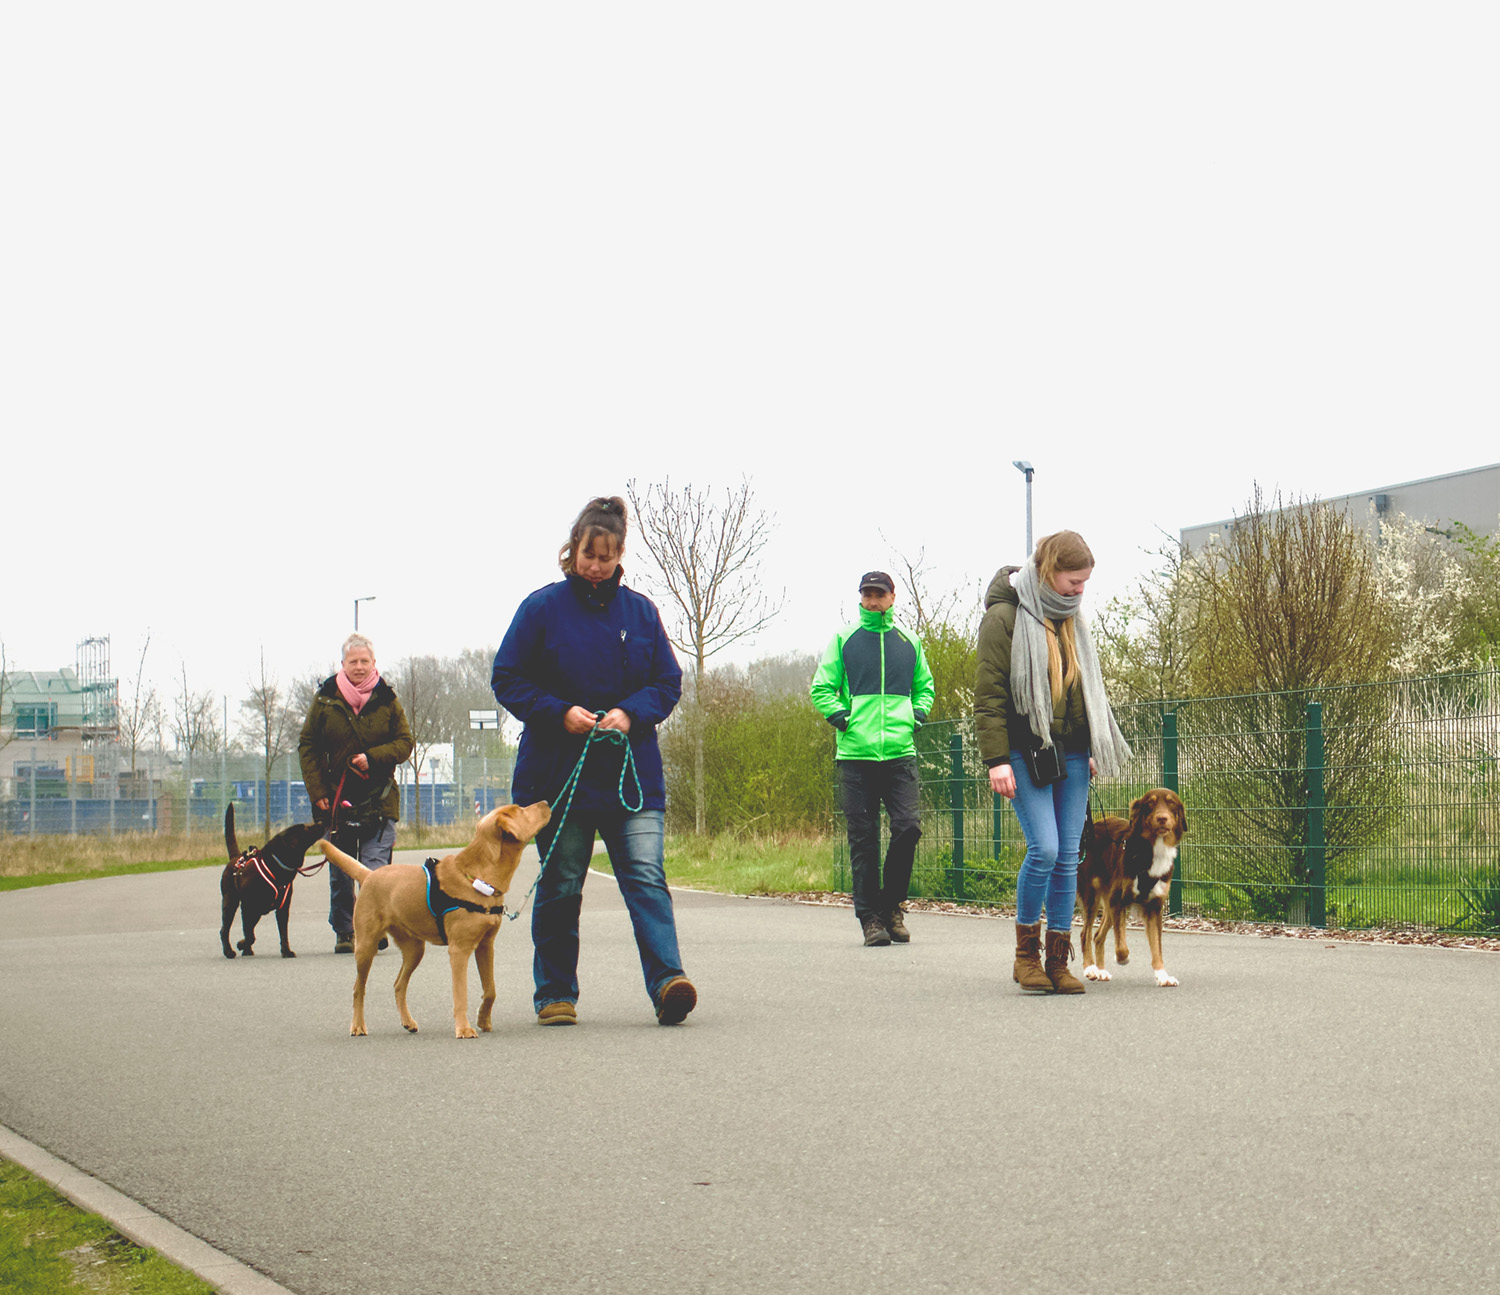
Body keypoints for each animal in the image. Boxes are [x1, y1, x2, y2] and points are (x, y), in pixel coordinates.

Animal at [219, 804, 325, 954]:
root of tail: (236, 857)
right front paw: (241, 944)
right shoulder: (248, 906)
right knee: (225, 930)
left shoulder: (283, 908)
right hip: (230, 902)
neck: (275, 866)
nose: (321, 822)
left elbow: (283, 932)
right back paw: (229, 951)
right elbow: (250, 935)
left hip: (254, 912)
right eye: (305, 828)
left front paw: (286, 951)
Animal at [321, 798, 552, 1044]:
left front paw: (483, 1020)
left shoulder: (485, 945)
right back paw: (357, 1025)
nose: (546, 802)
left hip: (414, 949)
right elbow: (461, 994)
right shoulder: (459, 950)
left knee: (399, 984)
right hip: (366, 946)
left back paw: (408, 1022)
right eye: (520, 810)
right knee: (358, 988)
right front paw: (464, 1028)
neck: (477, 878)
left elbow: (490, 989)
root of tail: (369, 875)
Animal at [1080, 792, 1182, 990]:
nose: (1162, 818)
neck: (1152, 851)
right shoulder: (1119, 900)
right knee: (1085, 934)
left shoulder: (1154, 907)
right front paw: (1122, 959)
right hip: (1092, 897)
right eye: (1149, 805)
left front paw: (1163, 976)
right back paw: (1090, 968)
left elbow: (1157, 947)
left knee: (1097, 935)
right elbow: (1121, 946)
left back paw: (1101, 971)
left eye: (1171, 803)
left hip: (1109, 904)